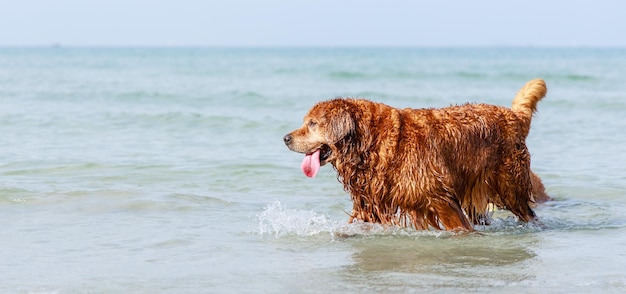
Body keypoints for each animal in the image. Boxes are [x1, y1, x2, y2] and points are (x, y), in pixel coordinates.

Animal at [282, 79, 544, 231]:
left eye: (313, 124)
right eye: (306, 122)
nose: (286, 138)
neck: (368, 144)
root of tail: (513, 116)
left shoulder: (439, 196)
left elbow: (457, 225)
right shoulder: (370, 199)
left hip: (510, 186)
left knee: (527, 211)